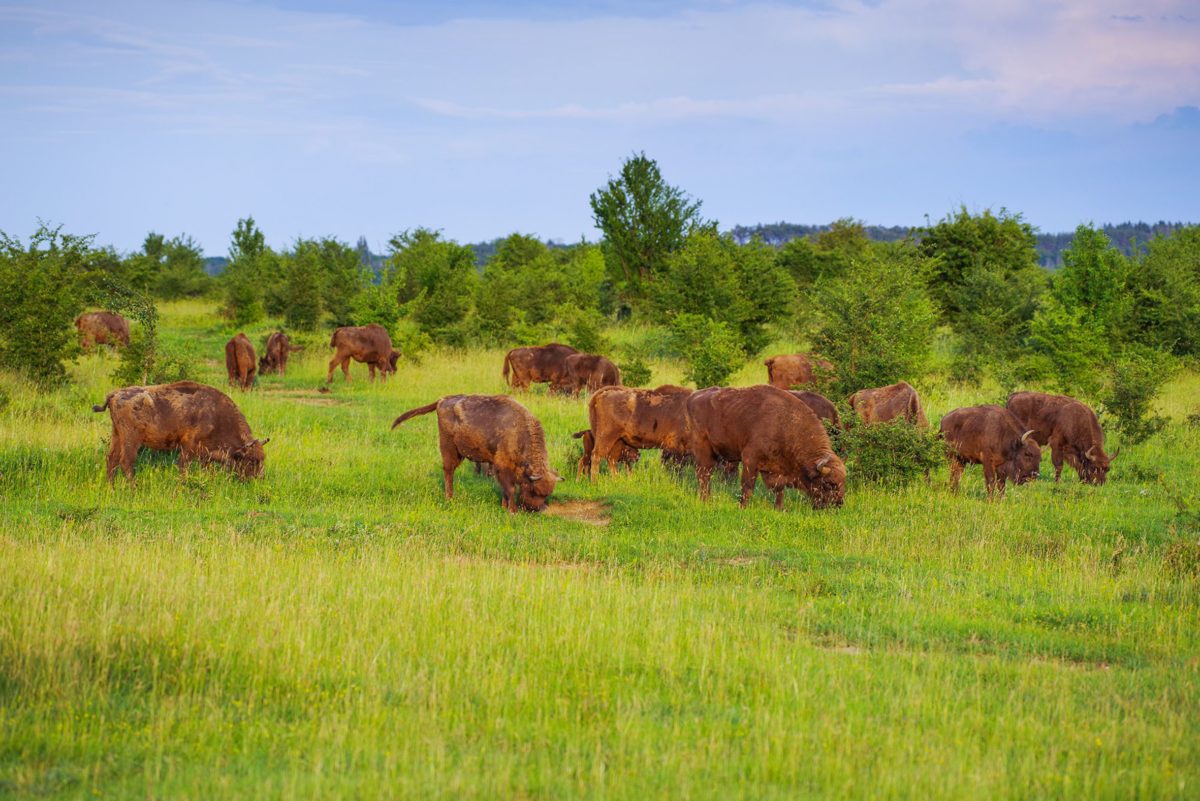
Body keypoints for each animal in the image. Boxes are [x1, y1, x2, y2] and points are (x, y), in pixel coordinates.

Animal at [91, 381, 270, 482]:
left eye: (262, 459)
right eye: (252, 460)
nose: (260, 479)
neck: (216, 415)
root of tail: (115, 394)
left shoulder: (204, 455)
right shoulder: (189, 447)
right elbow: (183, 466)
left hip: (117, 434)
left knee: (111, 459)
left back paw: (111, 487)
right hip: (131, 439)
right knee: (126, 462)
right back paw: (133, 488)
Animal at [391, 393, 564, 513]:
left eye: (547, 494)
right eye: (534, 490)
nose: (535, 509)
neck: (519, 432)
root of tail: (442, 400)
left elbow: (505, 490)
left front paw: (504, 506)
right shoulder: (503, 467)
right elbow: (510, 489)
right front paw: (512, 511)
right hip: (449, 449)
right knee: (448, 471)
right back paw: (450, 497)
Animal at [686, 383, 844, 510]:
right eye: (829, 483)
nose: (838, 504)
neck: (785, 425)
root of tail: (693, 397)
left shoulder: (777, 470)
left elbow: (779, 489)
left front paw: (779, 508)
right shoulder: (750, 460)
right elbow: (748, 486)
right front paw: (743, 507)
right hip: (704, 451)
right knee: (704, 475)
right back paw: (706, 500)